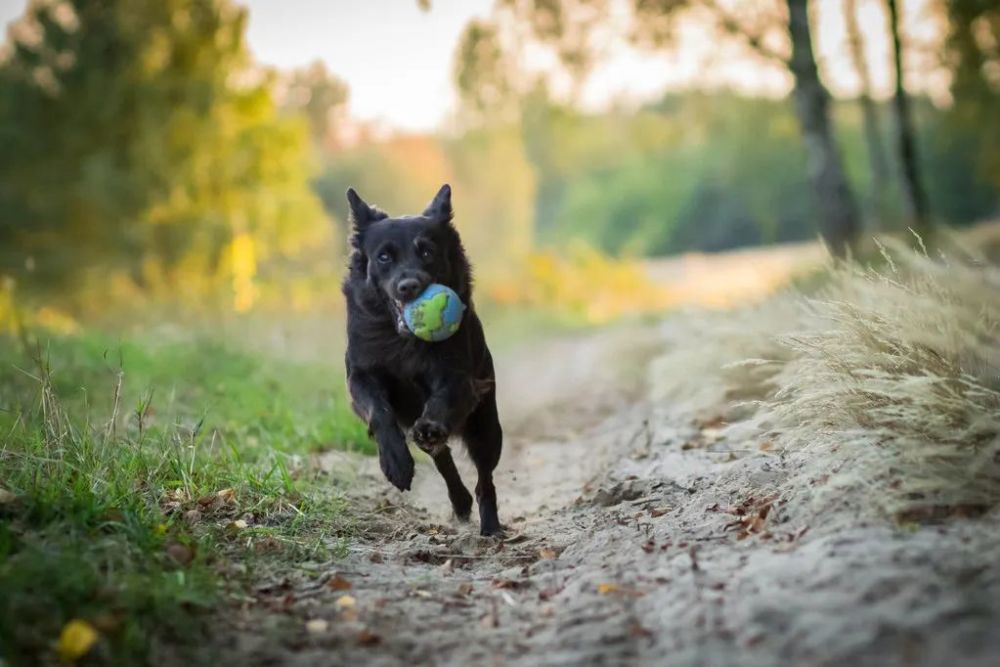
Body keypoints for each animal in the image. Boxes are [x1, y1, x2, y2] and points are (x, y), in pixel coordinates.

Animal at [344, 184, 504, 536]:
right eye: (384, 257)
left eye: (427, 252)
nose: (409, 287)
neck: (402, 341)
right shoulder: (360, 375)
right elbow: (379, 412)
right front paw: (396, 463)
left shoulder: (457, 376)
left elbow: (441, 399)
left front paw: (430, 425)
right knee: (443, 459)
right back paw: (459, 501)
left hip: (486, 429)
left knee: (484, 481)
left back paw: (490, 526)